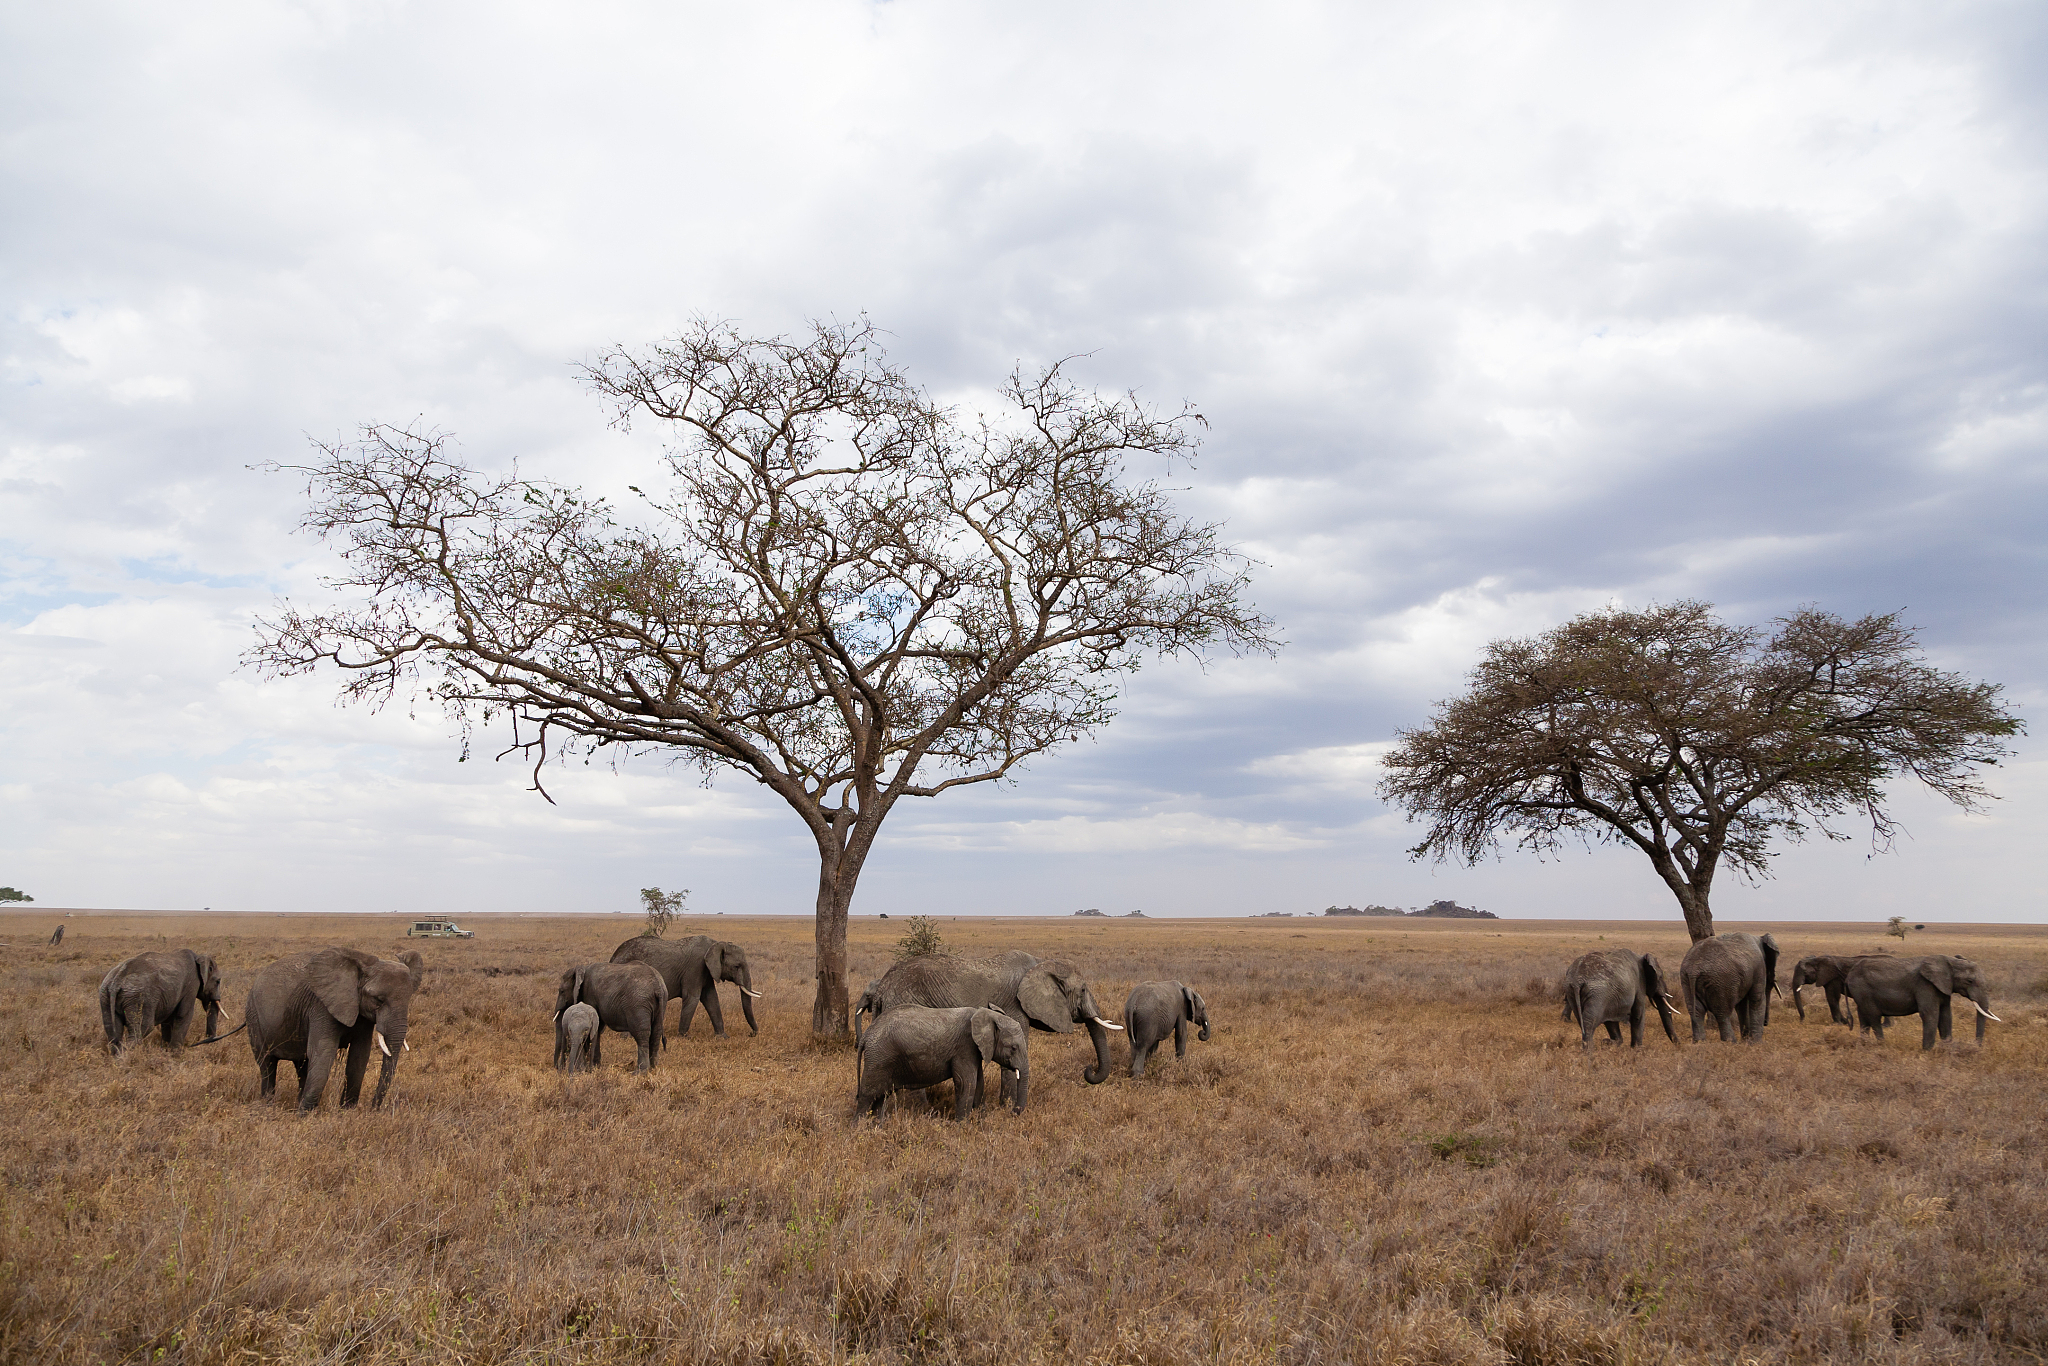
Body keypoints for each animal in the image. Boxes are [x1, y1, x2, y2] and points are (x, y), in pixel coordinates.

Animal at [245, 947, 424, 1112]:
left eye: (409, 998)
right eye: (378, 1000)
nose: (373, 1109)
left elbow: (359, 1056)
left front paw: (346, 1111)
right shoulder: (321, 1006)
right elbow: (323, 1052)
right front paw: (304, 1115)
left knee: (301, 1064)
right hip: (253, 1016)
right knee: (267, 1064)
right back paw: (268, 1105)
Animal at [609, 935, 761, 1037]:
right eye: (736, 966)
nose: (752, 1034)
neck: (716, 943)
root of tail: (614, 956)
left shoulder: (706, 971)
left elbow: (711, 999)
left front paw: (722, 1037)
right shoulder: (695, 967)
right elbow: (693, 997)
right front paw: (683, 1036)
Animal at [855, 1005, 1030, 1119]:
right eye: (1013, 1048)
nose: (1013, 1112)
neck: (987, 1014)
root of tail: (867, 1034)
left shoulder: (974, 1051)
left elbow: (979, 1082)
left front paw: (979, 1120)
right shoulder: (965, 1047)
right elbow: (966, 1083)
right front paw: (962, 1127)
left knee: (881, 1097)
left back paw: (877, 1130)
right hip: (879, 1058)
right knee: (867, 1096)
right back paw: (858, 1131)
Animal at [1845, 955, 2000, 1050]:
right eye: (1969, 981)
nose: (1976, 1047)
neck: (1949, 961)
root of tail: (1849, 975)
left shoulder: (1943, 986)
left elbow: (1946, 1015)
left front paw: (1946, 1048)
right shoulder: (1925, 985)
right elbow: (1930, 1014)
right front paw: (1928, 1051)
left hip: (1860, 993)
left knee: (1863, 1017)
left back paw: (1864, 1044)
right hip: (1863, 989)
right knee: (1874, 1016)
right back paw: (1882, 1044)